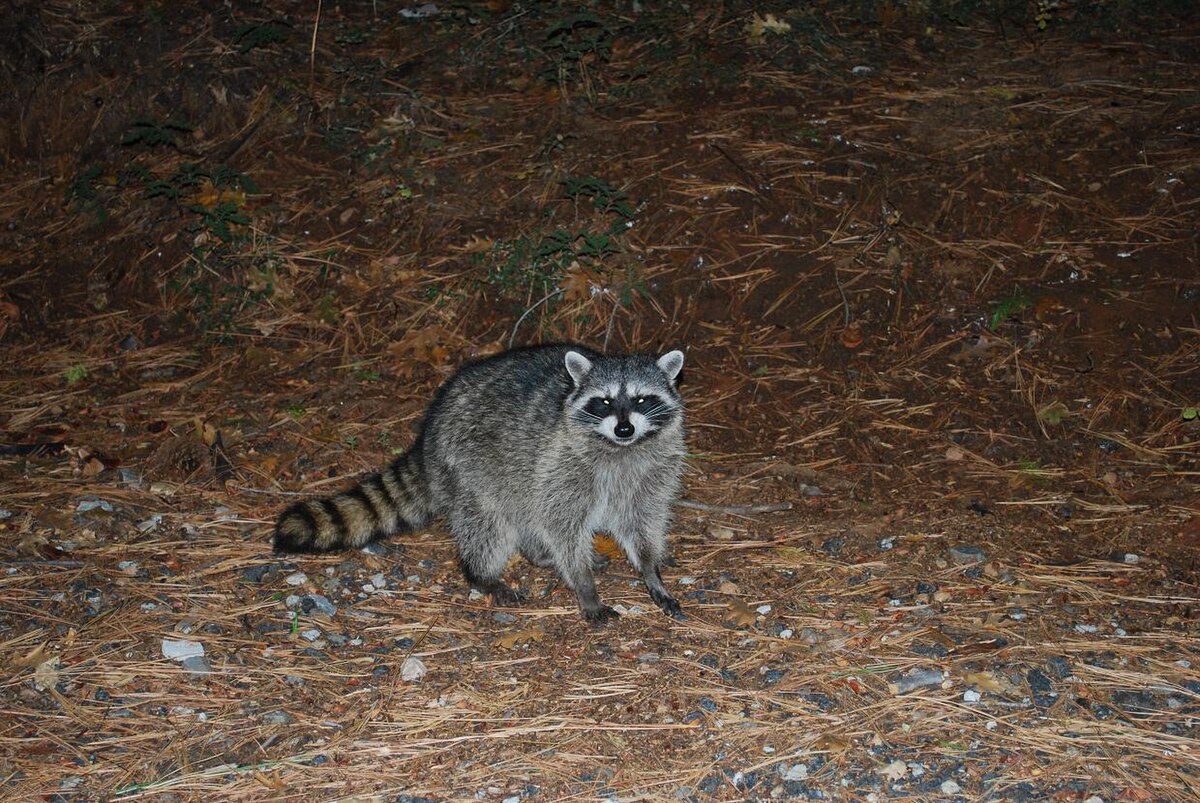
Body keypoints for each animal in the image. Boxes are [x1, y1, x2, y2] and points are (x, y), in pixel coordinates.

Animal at [272, 340, 686, 624]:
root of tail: (431, 427)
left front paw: (651, 571)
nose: (624, 428)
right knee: (488, 523)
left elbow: (640, 521)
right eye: (604, 402)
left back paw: (535, 552)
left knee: (524, 508)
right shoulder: (562, 462)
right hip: (470, 462)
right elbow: (561, 525)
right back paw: (482, 574)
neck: (620, 449)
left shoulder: (651, 473)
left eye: (642, 399)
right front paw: (583, 584)